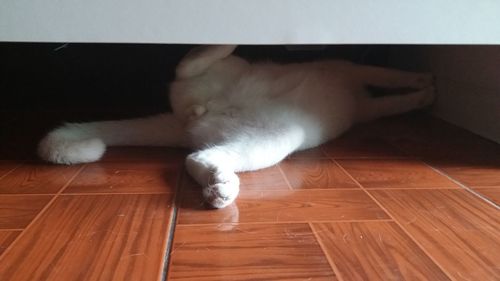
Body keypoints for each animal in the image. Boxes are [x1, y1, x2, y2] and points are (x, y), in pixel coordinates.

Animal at [38, 44, 434, 208]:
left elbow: (392, 101)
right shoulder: (348, 67)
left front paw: (423, 94)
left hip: (263, 139)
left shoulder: (366, 105)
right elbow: (387, 74)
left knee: (197, 156)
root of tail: (191, 118)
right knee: (186, 66)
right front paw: (423, 81)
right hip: (253, 104)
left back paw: (220, 189)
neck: (356, 95)